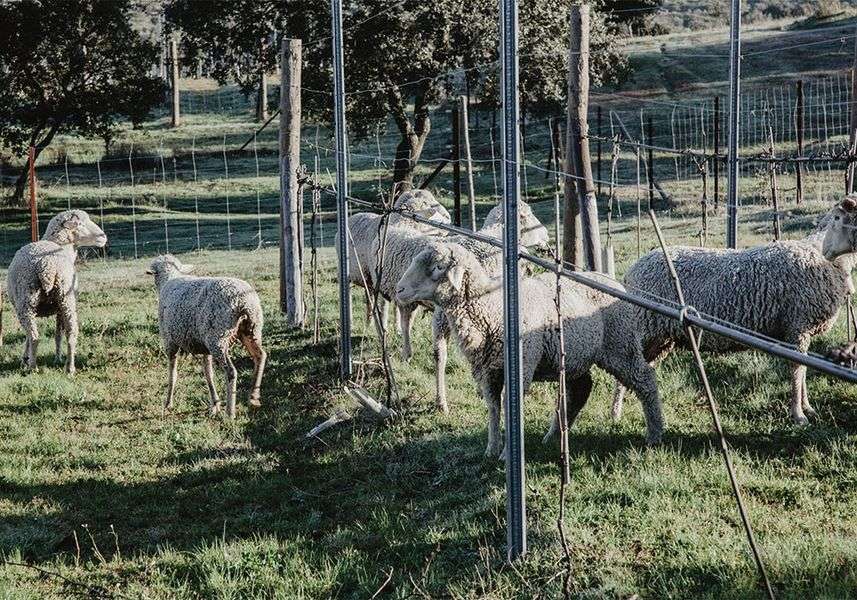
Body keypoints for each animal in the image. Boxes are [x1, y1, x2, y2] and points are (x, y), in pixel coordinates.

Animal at [5, 209, 107, 372]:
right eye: (80, 224)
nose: (103, 237)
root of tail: (48, 266)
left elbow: (33, 336)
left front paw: (25, 359)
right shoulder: (59, 308)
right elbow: (58, 334)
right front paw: (56, 358)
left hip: (26, 302)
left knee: (34, 336)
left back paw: (33, 367)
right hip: (66, 299)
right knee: (71, 334)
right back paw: (70, 368)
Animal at [147, 255, 266, 420]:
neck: (170, 278)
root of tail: (244, 302)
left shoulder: (170, 341)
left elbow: (172, 374)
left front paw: (168, 403)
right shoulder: (204, 348)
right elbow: (208, 374)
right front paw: (214, 404)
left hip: (218, 338)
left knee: (231, 372)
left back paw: (230, 412)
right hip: (251, 330)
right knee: (260, 356)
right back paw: (254, 397)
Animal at [394, 241, 664, 458]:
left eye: (438, 267)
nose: (399, 290)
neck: (491, 306)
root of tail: (614, 281)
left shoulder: (521, 364)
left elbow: (507, 405)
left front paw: (507, 453)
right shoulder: (488, 370)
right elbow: (493, 406)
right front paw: (491, 449)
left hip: (621, 345)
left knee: (645, 379)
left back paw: (655, 433)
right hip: (575, 355)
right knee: (581, 389)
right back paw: (554, 436)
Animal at [612, 199, 852, 424]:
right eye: (837, 218)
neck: (820, 255)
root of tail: (631, 272)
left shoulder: (799, 332)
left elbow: (803, 371)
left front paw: (807, 408)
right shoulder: (798, 327)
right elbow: (797, 371)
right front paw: (799, 415)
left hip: (661, 337)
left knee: (640, 370)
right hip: (644, 328)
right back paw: (616, 412)